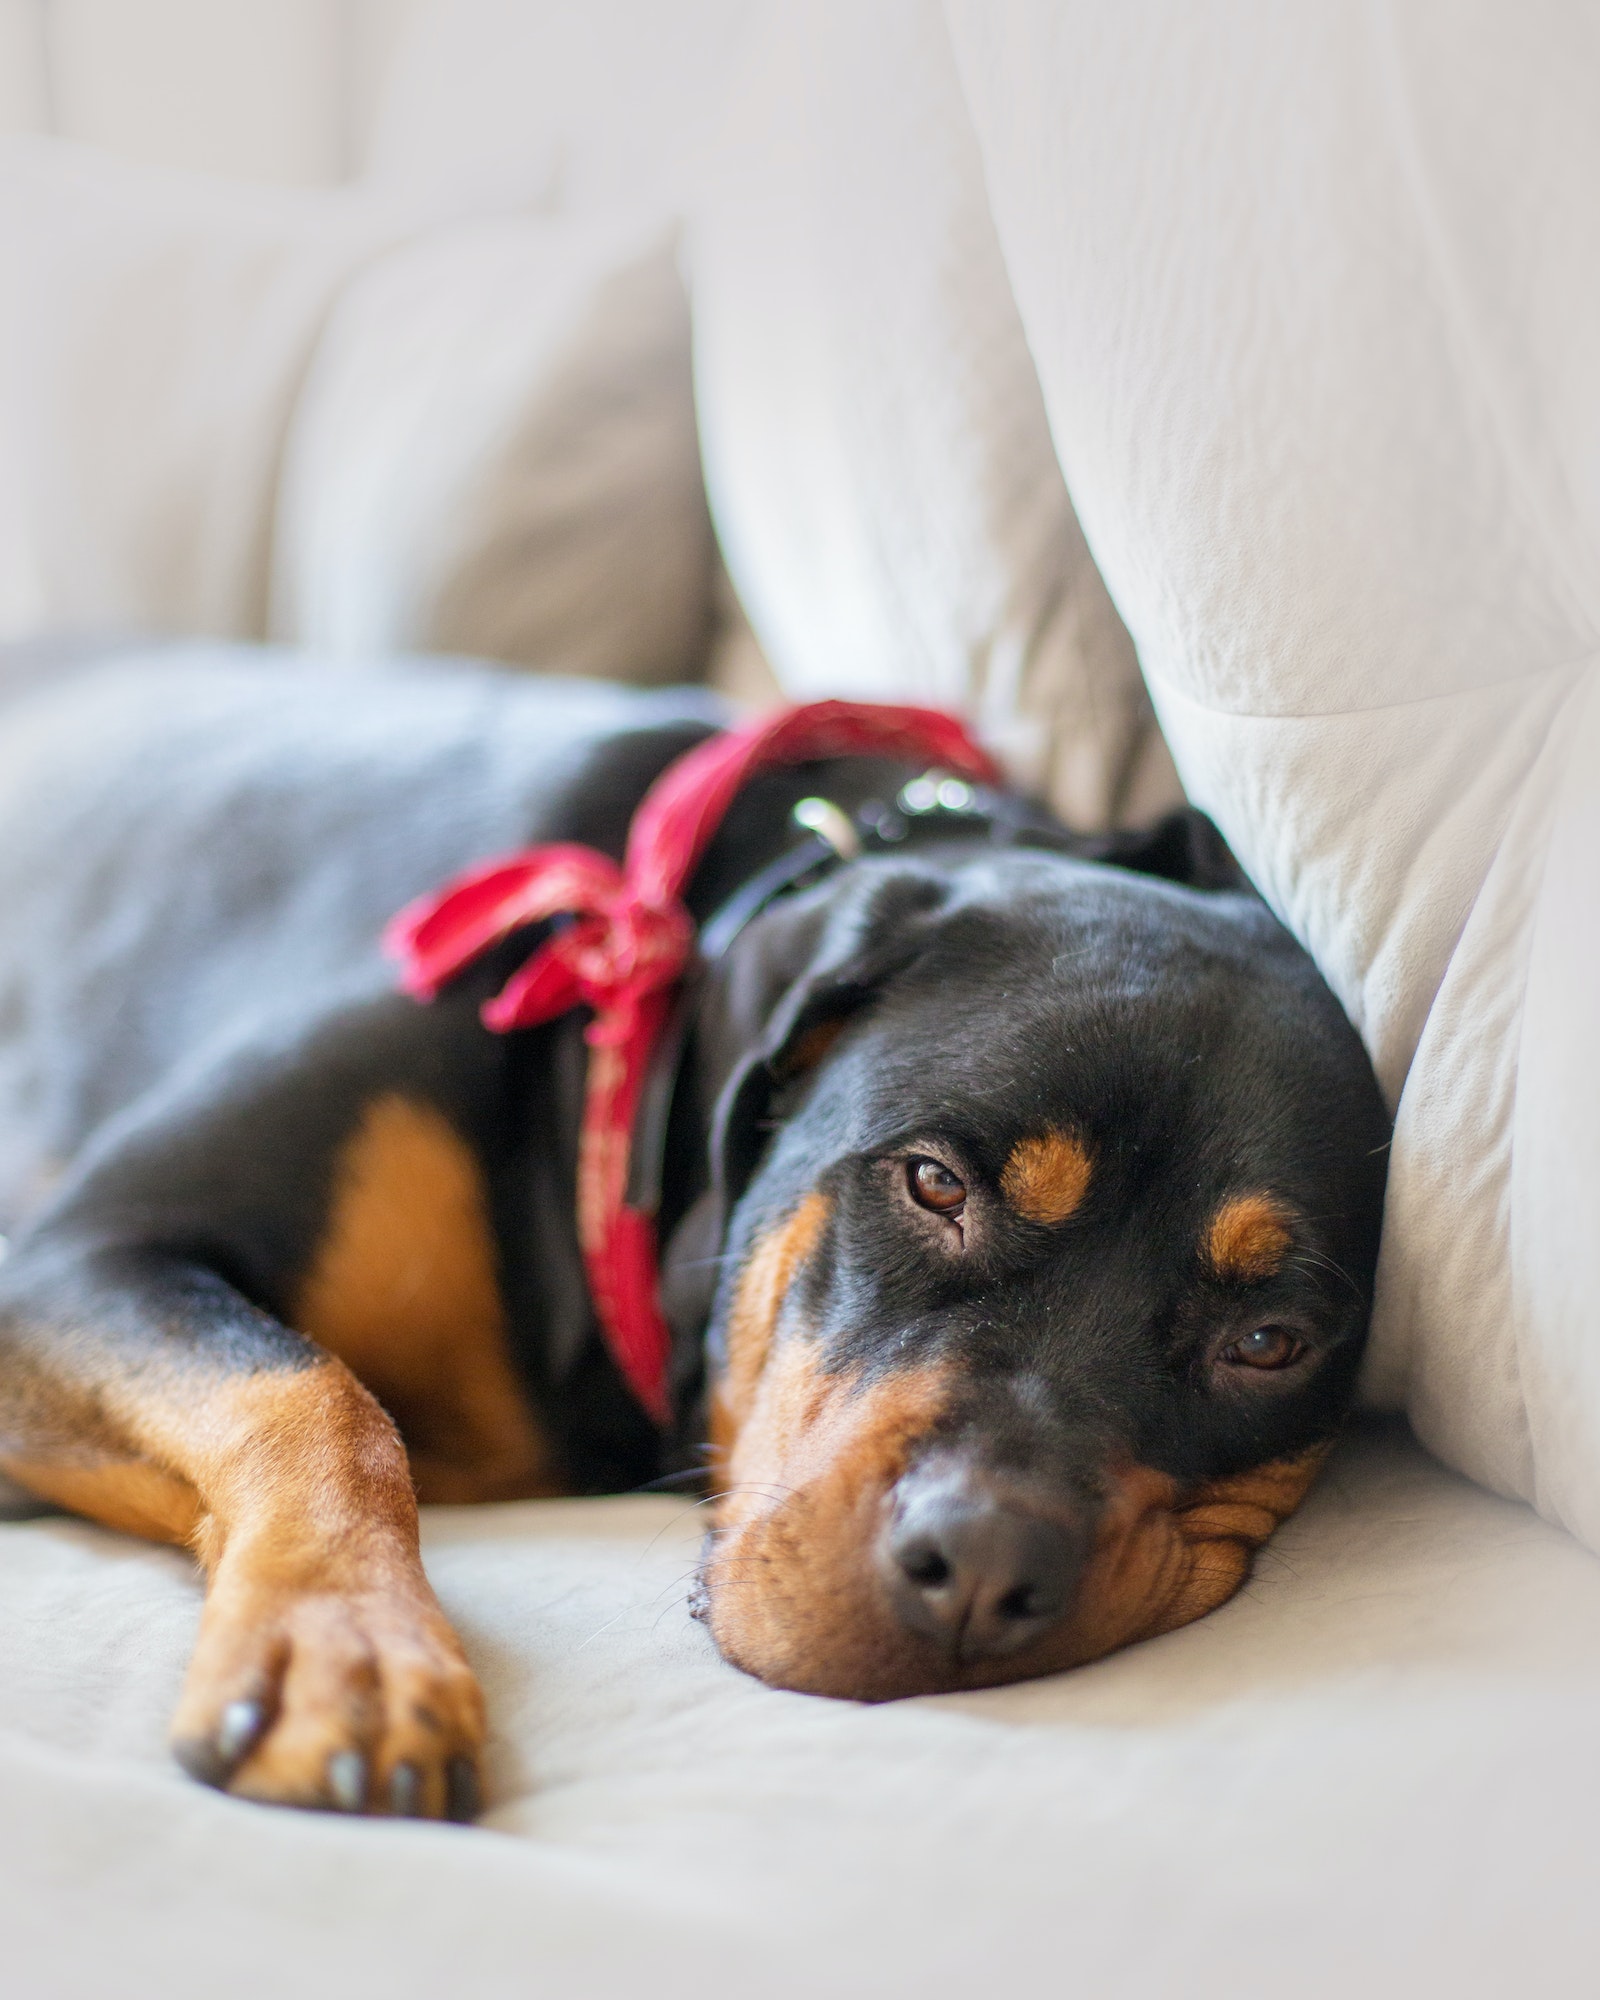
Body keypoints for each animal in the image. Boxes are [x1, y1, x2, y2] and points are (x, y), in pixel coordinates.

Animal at [0, 648, 1384, 1824]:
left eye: (1268, 1341)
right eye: (935, 1184)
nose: (986, 1565)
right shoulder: (77, 1253)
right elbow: (314, 1395)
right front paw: (347, 1645)